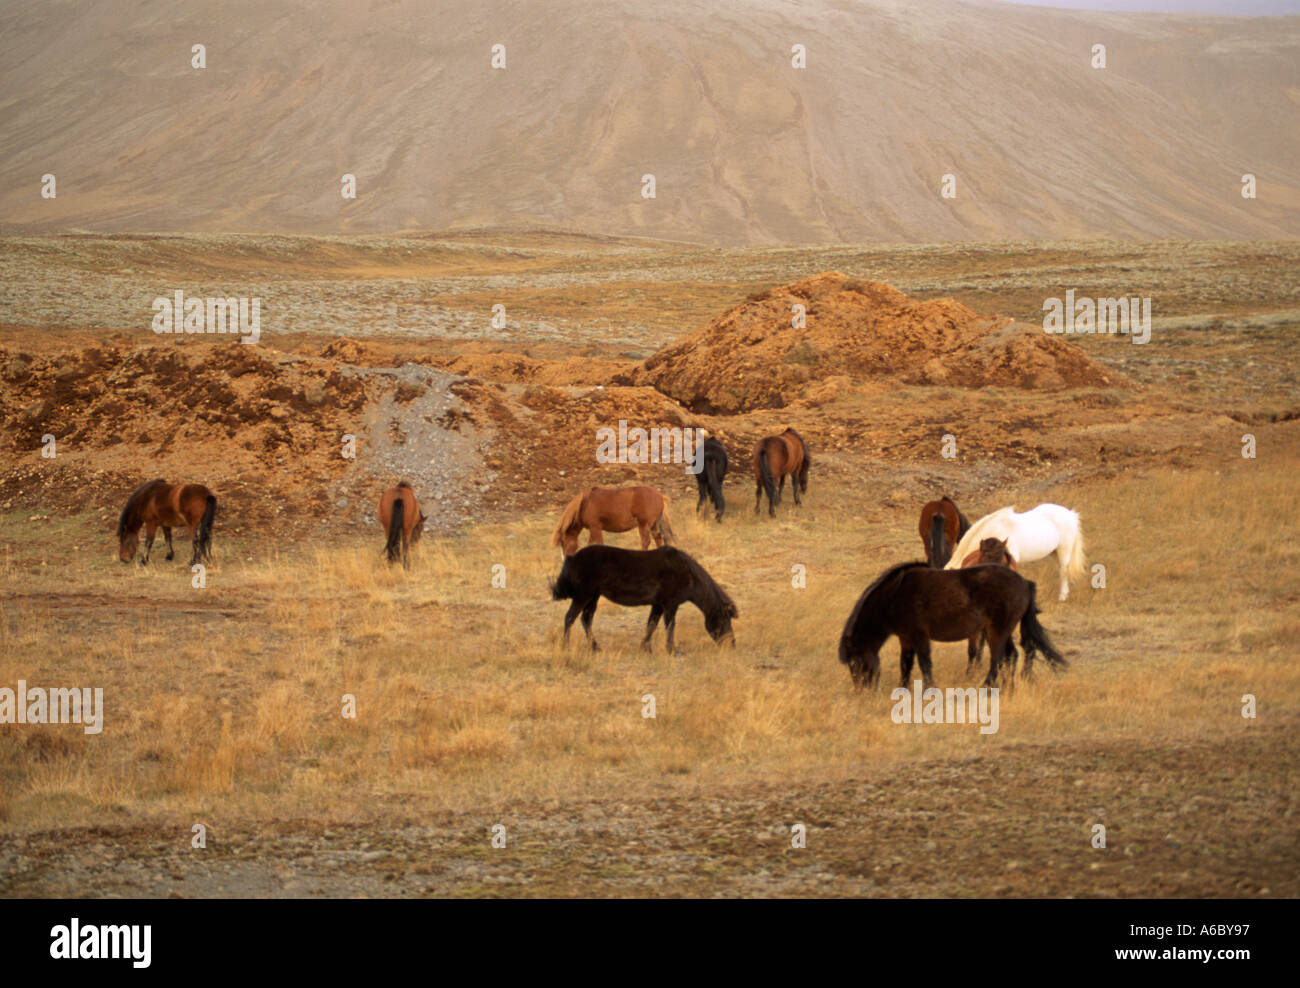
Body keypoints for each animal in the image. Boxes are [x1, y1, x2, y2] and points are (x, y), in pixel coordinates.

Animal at [546, 543, 733, 652]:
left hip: (593, 597)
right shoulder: (670, 605)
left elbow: (651, 625)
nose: (732, 644)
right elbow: (670, 626)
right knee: (570, 618)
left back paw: (595, 647)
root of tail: (573, 558)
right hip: (583, 596)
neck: (686, 573)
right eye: (725, 619)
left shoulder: (658, 605)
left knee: (586, 620)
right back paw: (565, 647)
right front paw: (672, 650)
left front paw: (645, 647)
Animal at [842, 559, 1066, 691]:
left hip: (997, 631)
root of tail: (1025, 583)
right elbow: (905, 664)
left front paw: (929, 690)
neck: (894, 596)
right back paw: (1007, 688)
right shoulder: (906, 638)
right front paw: (903, 689)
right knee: (1011, 656)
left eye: (855, 663)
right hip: (1000, 631)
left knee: (997, 658)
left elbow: (924, 664)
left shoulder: (919, 636)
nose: (862, 691)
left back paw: (986, 688)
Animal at [946, 501, 1086, 603]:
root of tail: (1071, 515)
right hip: (1054, 552)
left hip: (1064, 551)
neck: (995, 530)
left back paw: (1062, 597)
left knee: (1064, 571)